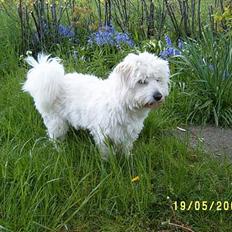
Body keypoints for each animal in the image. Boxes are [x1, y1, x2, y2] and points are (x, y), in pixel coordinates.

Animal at [22, 52, 169, 157]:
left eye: (158, 80)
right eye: (142, 81)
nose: (158, 96)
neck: (121, 101)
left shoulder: (127, 134)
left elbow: (125, 150)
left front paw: (127, 160)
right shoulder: (103, 134)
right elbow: (106, 154)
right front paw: (108, 165)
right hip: (56, 122)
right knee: (54, 137)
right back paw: (59, 151)